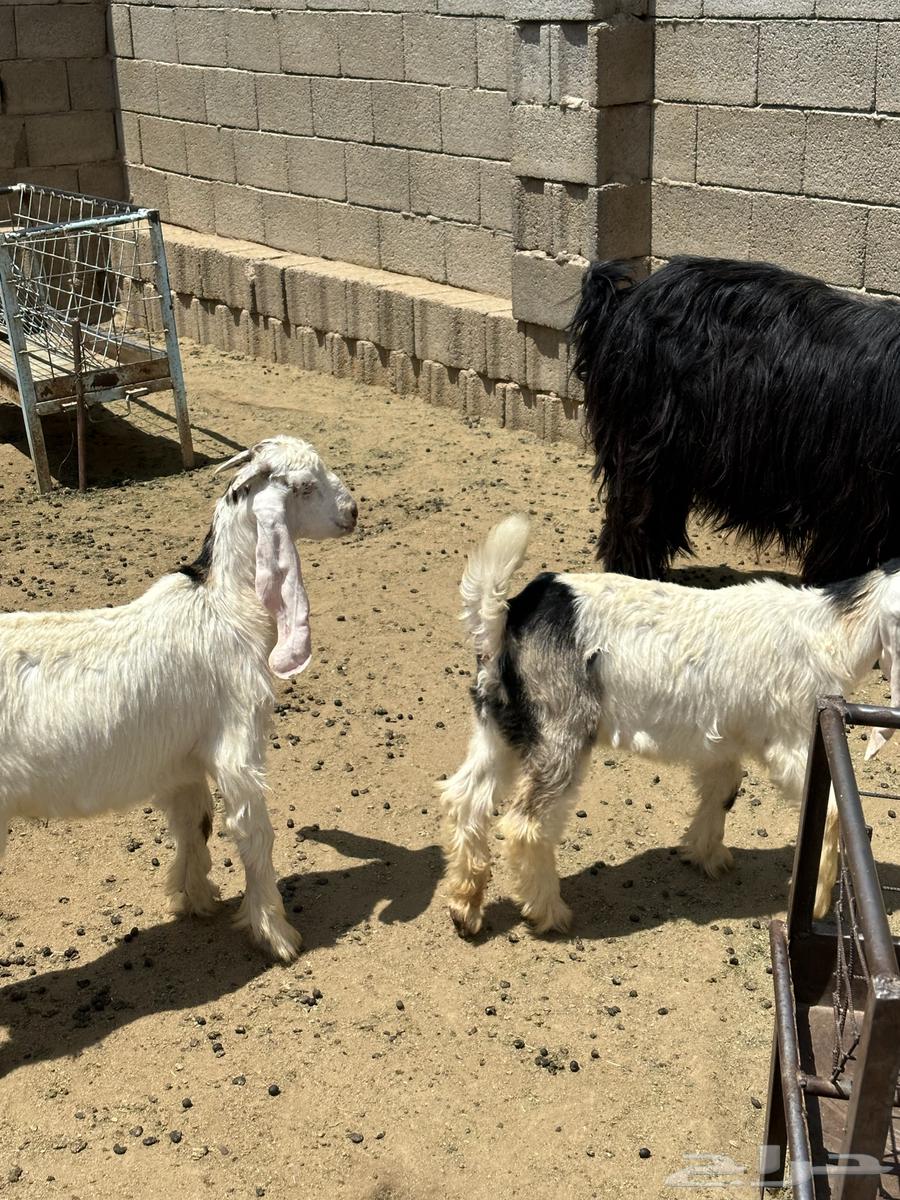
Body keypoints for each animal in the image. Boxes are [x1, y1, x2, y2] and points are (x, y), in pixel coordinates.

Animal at [0, 436, 357, 962]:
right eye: (306, 486)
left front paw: (194, 897)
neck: (221, 604)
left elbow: (195, 822)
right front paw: (275, 933)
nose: (353, 512)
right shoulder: (237, 743)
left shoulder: (181, 762)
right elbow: (255, 833)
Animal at [439, 515, 900, 937]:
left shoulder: (723, 743)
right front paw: (817, 904)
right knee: (526, 824)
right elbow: (834, 812)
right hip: (561, 730)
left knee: (466, 797)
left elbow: (724, 791)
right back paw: (547, 912)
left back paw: (465, 906)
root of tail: (509, 616)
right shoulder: (793, 742)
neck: (831, 633)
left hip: (499, 725)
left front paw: (705, 854)